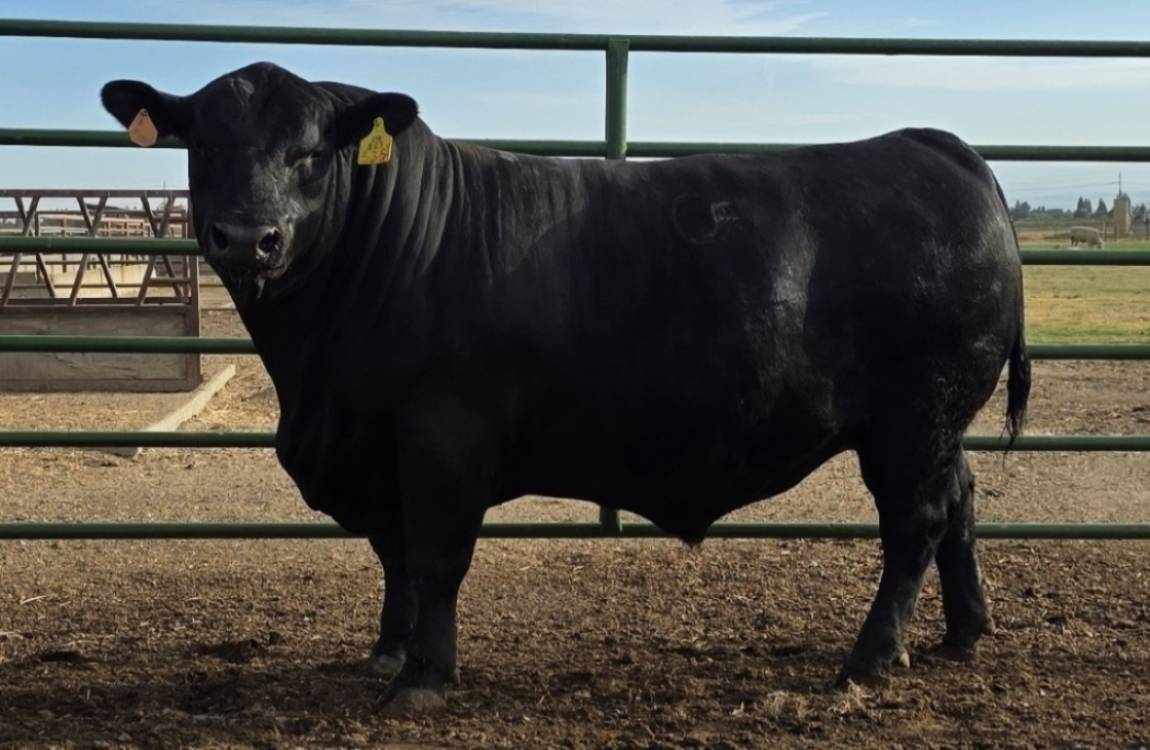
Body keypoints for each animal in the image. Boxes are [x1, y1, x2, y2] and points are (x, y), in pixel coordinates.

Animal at [101, 62, 1030, 717]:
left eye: (309, 152)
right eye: (203, 145)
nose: (248, 237)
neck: (315, 373)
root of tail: (930, 145)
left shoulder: (441, 438)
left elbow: (436, 556)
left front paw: (423, 679)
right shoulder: (377, 446)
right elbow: (395, 555)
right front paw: (389, 651)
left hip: (914, 416)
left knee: (916, 523)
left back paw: (869, 660)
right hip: (938, 424)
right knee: (962, 501)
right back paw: (962, 634)